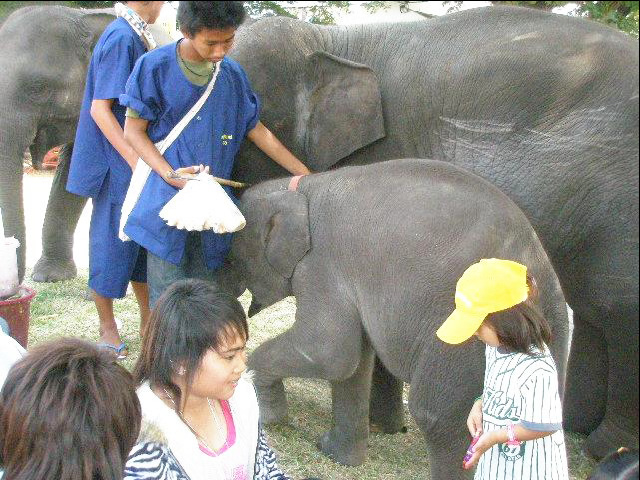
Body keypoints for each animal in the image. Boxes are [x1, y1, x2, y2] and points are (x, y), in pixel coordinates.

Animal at [228, 158, 571, 478]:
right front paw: (334, 454)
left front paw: (268, 415)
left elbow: (329, 351)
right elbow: (353, 364)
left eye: (235, 256)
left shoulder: (321, 265)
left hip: (461, 338)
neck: (300, 188)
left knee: (439, 417)